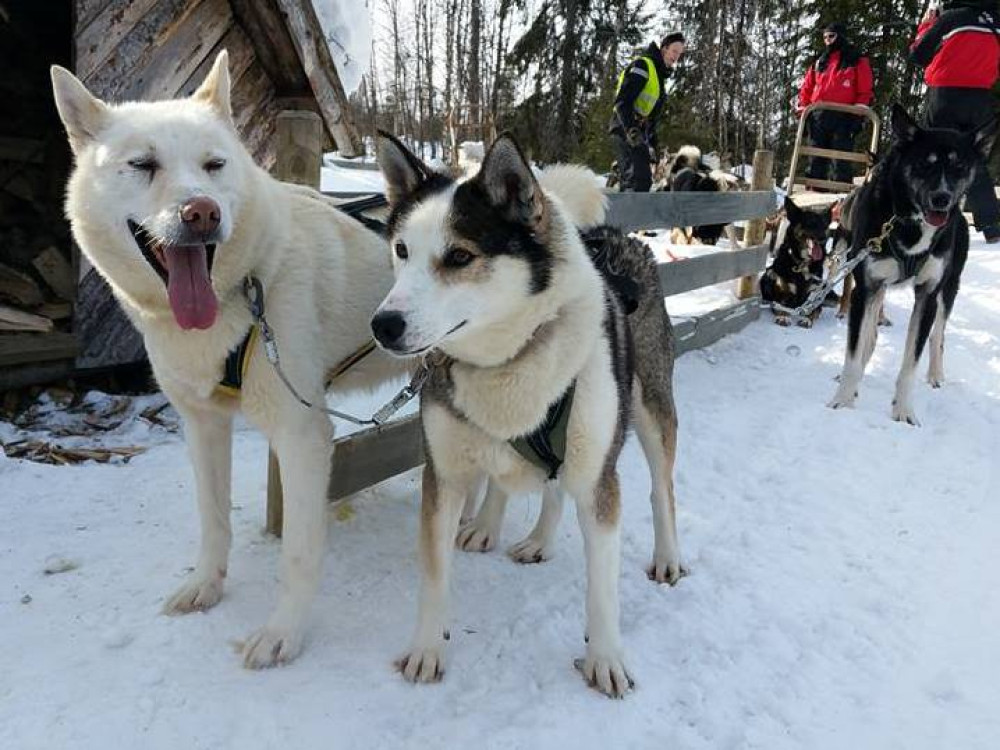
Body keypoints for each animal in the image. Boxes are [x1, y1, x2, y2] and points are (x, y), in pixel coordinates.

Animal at [372, 134, 684, 700]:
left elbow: (602, 591)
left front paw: (605, 658)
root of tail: (612, 236)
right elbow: (434, 575)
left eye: (459, 256)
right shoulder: (445, 476)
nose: (383, 325)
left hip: (650, 410)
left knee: (659, 487)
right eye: (402, 250)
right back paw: (525, 535)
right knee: (541, 483)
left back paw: (667, 555)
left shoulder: (599, 481)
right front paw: (428, 648)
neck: (507, 358)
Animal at [760, 198, 832, 328]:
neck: (803, 265)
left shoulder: (814, 300)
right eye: (810, 223)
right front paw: (783, 317)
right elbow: (781, 307)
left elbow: (814, 311)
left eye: (824, 225)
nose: (823, 238)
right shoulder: (780, 297)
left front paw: (807, 320)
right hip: (769, 274)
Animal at [828, 103, 992, 426]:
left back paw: (936, 374)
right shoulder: (867, 287)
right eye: (924, 164)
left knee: (938, 336)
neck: (907, 222)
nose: (942, 198)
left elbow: (910, 363)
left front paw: (903, 412)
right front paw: (843, 402)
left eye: (959, 167)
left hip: (948, 290)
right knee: (869, 335)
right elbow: (855, 350)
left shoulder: (927, 295)